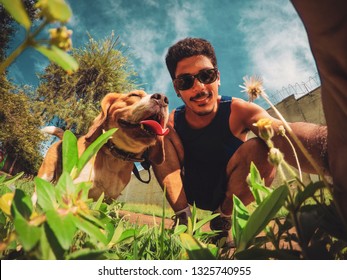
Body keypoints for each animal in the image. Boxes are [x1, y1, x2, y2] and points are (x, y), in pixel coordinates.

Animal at [38, 91, 170, 200]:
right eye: (134, 95)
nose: (163, 98)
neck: (114, 156)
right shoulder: (76, 186)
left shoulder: (109, 198)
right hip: (46, 174)